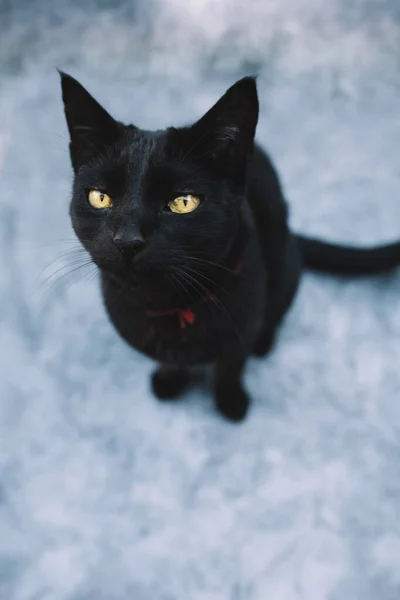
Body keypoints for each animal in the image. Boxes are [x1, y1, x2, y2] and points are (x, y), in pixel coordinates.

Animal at [60, 72, 400, 422]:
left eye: (183, 203)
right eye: (100, 197)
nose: (127, 239)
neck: (170, 305)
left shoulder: (242, 327)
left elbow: (231, 366)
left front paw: (231, 402)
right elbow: (171, 361)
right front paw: (170, 380)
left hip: (286, 263)